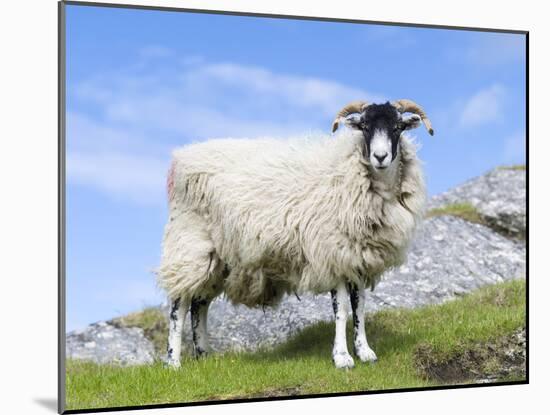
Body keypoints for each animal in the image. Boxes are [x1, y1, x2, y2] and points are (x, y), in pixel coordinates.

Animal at [158, 99, 436, 368]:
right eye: (365, 126)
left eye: (397, 127)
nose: (380, 156)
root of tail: (181, 157)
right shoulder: (332, 254)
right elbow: (341, 310)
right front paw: (342, 357)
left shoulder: (356, 257)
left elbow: (359, 307)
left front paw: (365, 352)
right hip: (190, 244)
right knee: (179, 305)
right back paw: (173, 362)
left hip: (218, 258)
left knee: (199, 303)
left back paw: (204, 356)